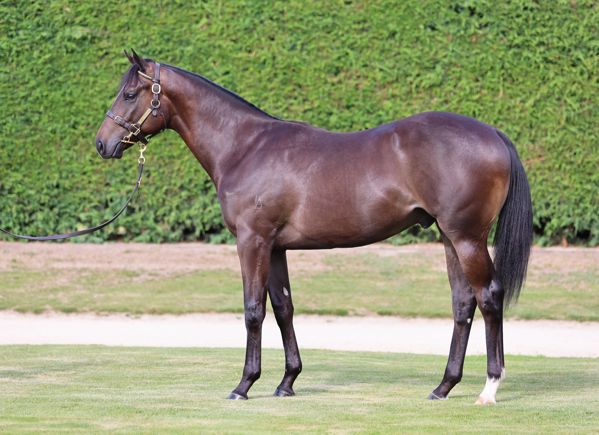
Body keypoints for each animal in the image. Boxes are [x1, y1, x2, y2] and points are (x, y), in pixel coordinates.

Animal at [95, 51, 533, 405]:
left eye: (130, 94)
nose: (102, 143)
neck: (244, 147)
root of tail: (493, 133)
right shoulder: (275, 247)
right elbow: (283, 307)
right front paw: (286, 382)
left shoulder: (252, 241)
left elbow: (253, 310)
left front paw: (244, 385)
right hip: (448, 237)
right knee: (463, 303)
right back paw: (443, 387)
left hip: (467, 237)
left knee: (489, 297)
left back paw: (489, 388)